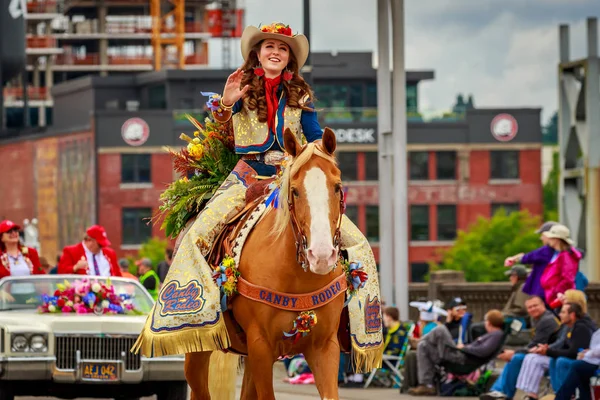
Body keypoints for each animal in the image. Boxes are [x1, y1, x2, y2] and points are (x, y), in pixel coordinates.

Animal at [186, 128, 346, 400]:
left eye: (337, 187)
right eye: (295, 191)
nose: (322, 256)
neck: (296, 278)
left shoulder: (325, 346)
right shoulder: (260, 345)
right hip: (199, 345)